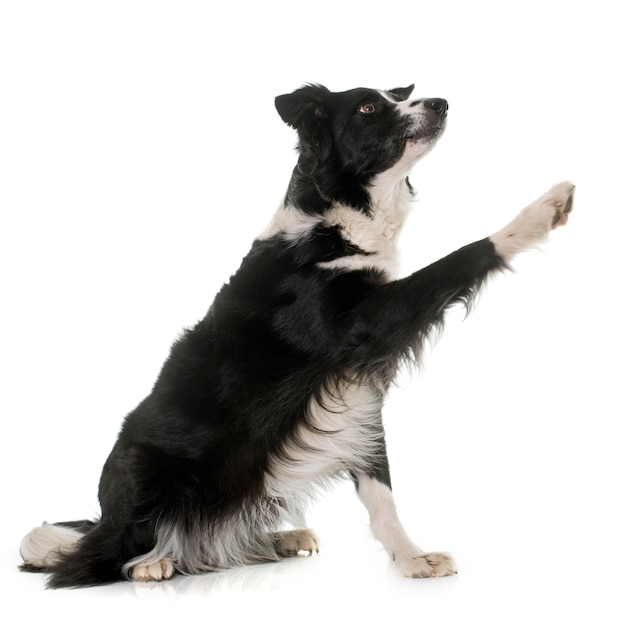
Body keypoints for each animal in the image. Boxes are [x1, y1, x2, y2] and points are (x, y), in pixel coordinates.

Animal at [22, 83, 572, 584]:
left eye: (399, 92)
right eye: (368, 107)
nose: (440, 103)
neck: (339, 218)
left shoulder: (357, 387)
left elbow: (380, 486)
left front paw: (411, 558)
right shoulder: (364, 325)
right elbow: (458, 259)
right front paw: (539, 213)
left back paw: (279, 538)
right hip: (143, 471)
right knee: (103, 553)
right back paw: (150, 562)